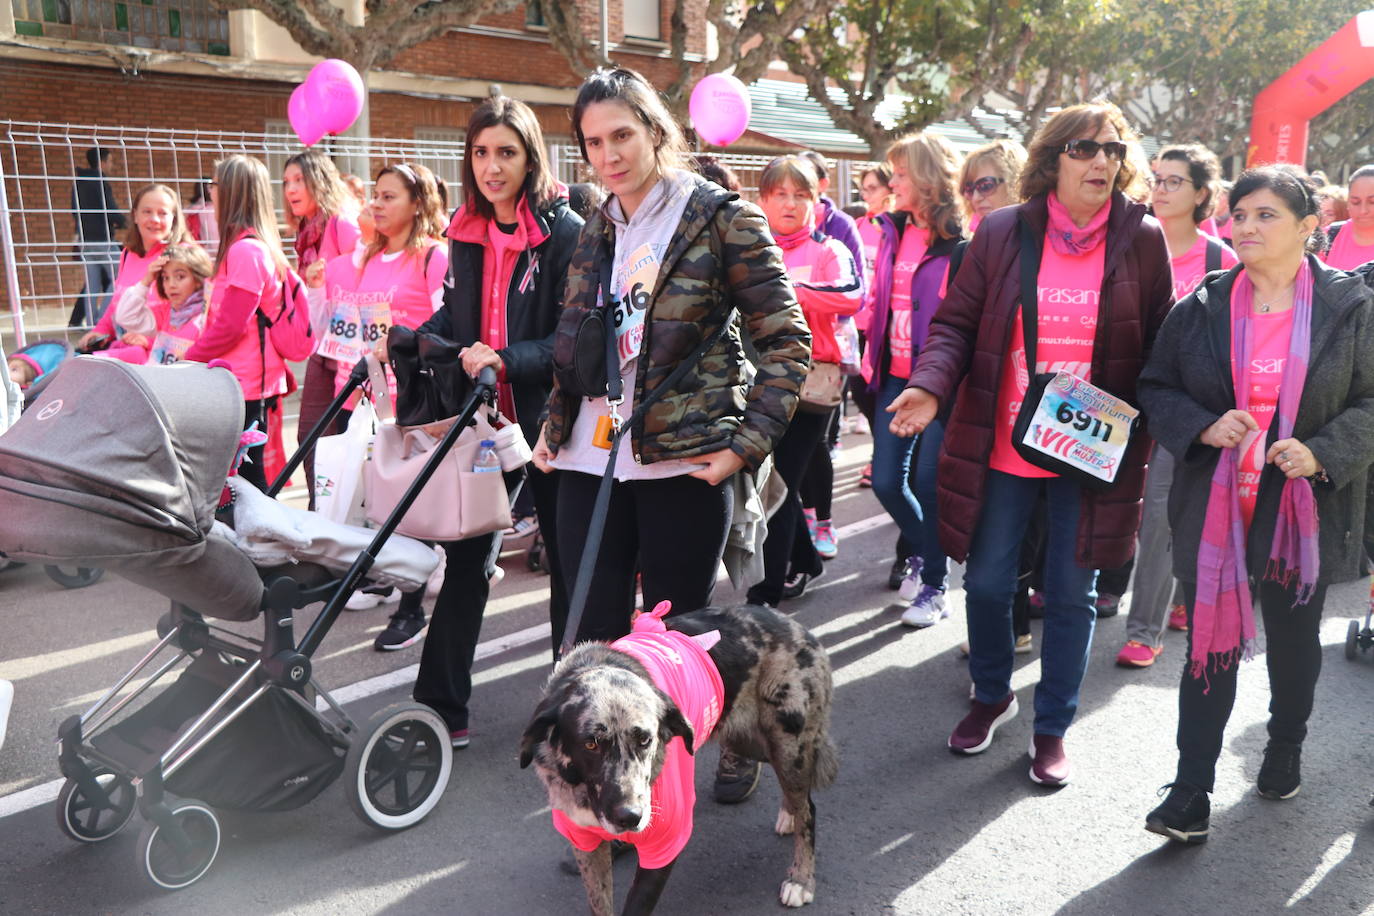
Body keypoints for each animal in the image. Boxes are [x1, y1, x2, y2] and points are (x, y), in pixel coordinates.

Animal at [516, 601, 829, 911]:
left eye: (645, 739)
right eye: (590, 744)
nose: (630, 817)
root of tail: (792, 624)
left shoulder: (665, 844)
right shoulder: (585, 843)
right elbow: (600, 903)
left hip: (787, 745)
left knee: (808, 807)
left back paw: (801, 878)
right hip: (751, 741)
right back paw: (789, 815)